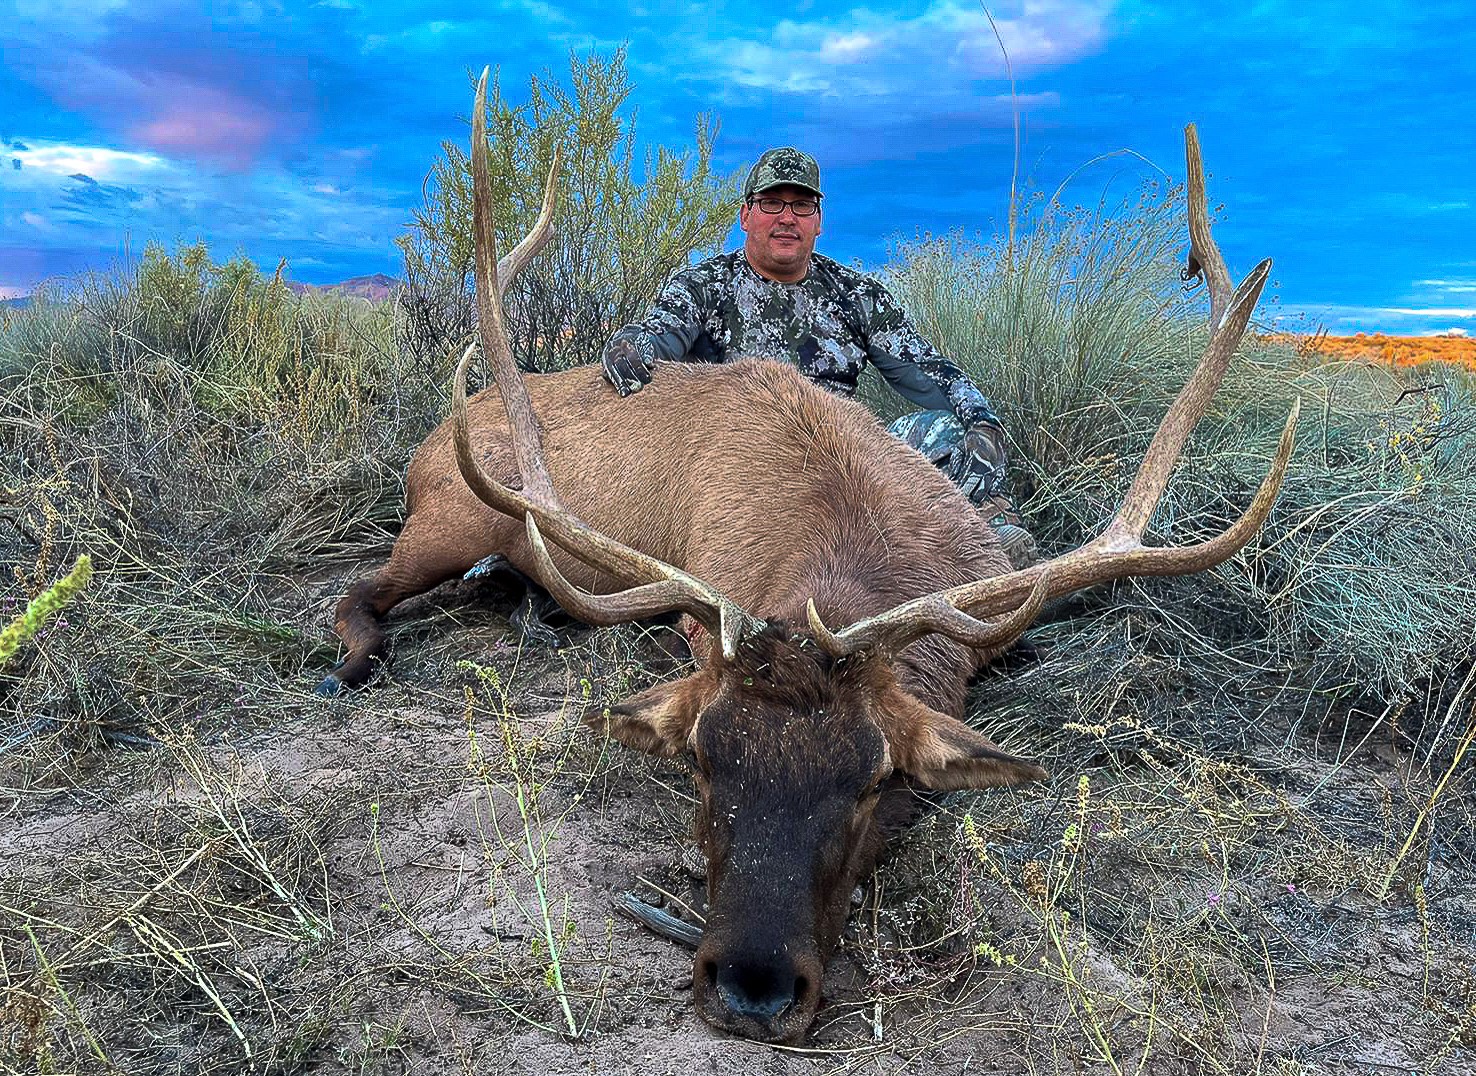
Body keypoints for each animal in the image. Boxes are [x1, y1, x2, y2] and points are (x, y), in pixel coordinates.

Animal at [320, 71, 1292, 1045]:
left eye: (875, 782)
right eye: (703, 761)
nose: (752, 986)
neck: (846, 543)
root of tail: (440, 435)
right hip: (451, 517)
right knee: (357, 589)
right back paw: (354, 661)